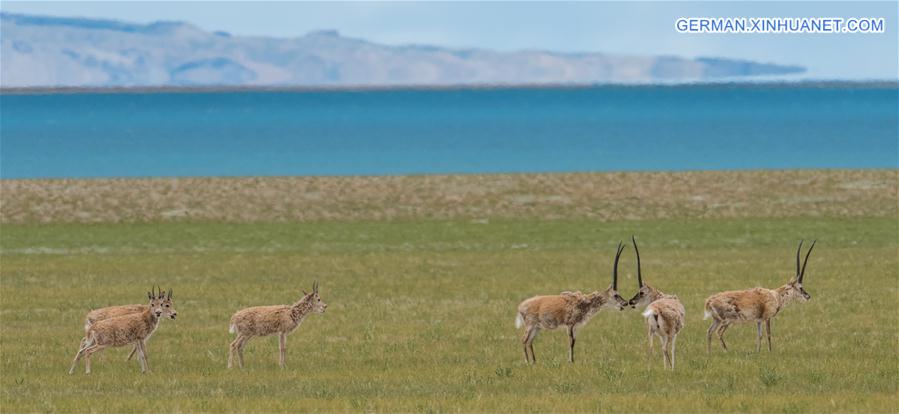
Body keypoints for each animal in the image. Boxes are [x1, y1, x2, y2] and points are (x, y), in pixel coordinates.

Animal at [626, 236, 685, 370]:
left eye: (641, 292)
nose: (631, 301)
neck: (661, 296)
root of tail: (656, 310)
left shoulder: (660, 335)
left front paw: (664, 368)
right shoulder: (674, 334)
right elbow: (673, 349)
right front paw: (671, 368)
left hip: (651, 332)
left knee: (651, 348)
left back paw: (649, 369)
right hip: (669, 334)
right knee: (665, 348)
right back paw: (670, 369)